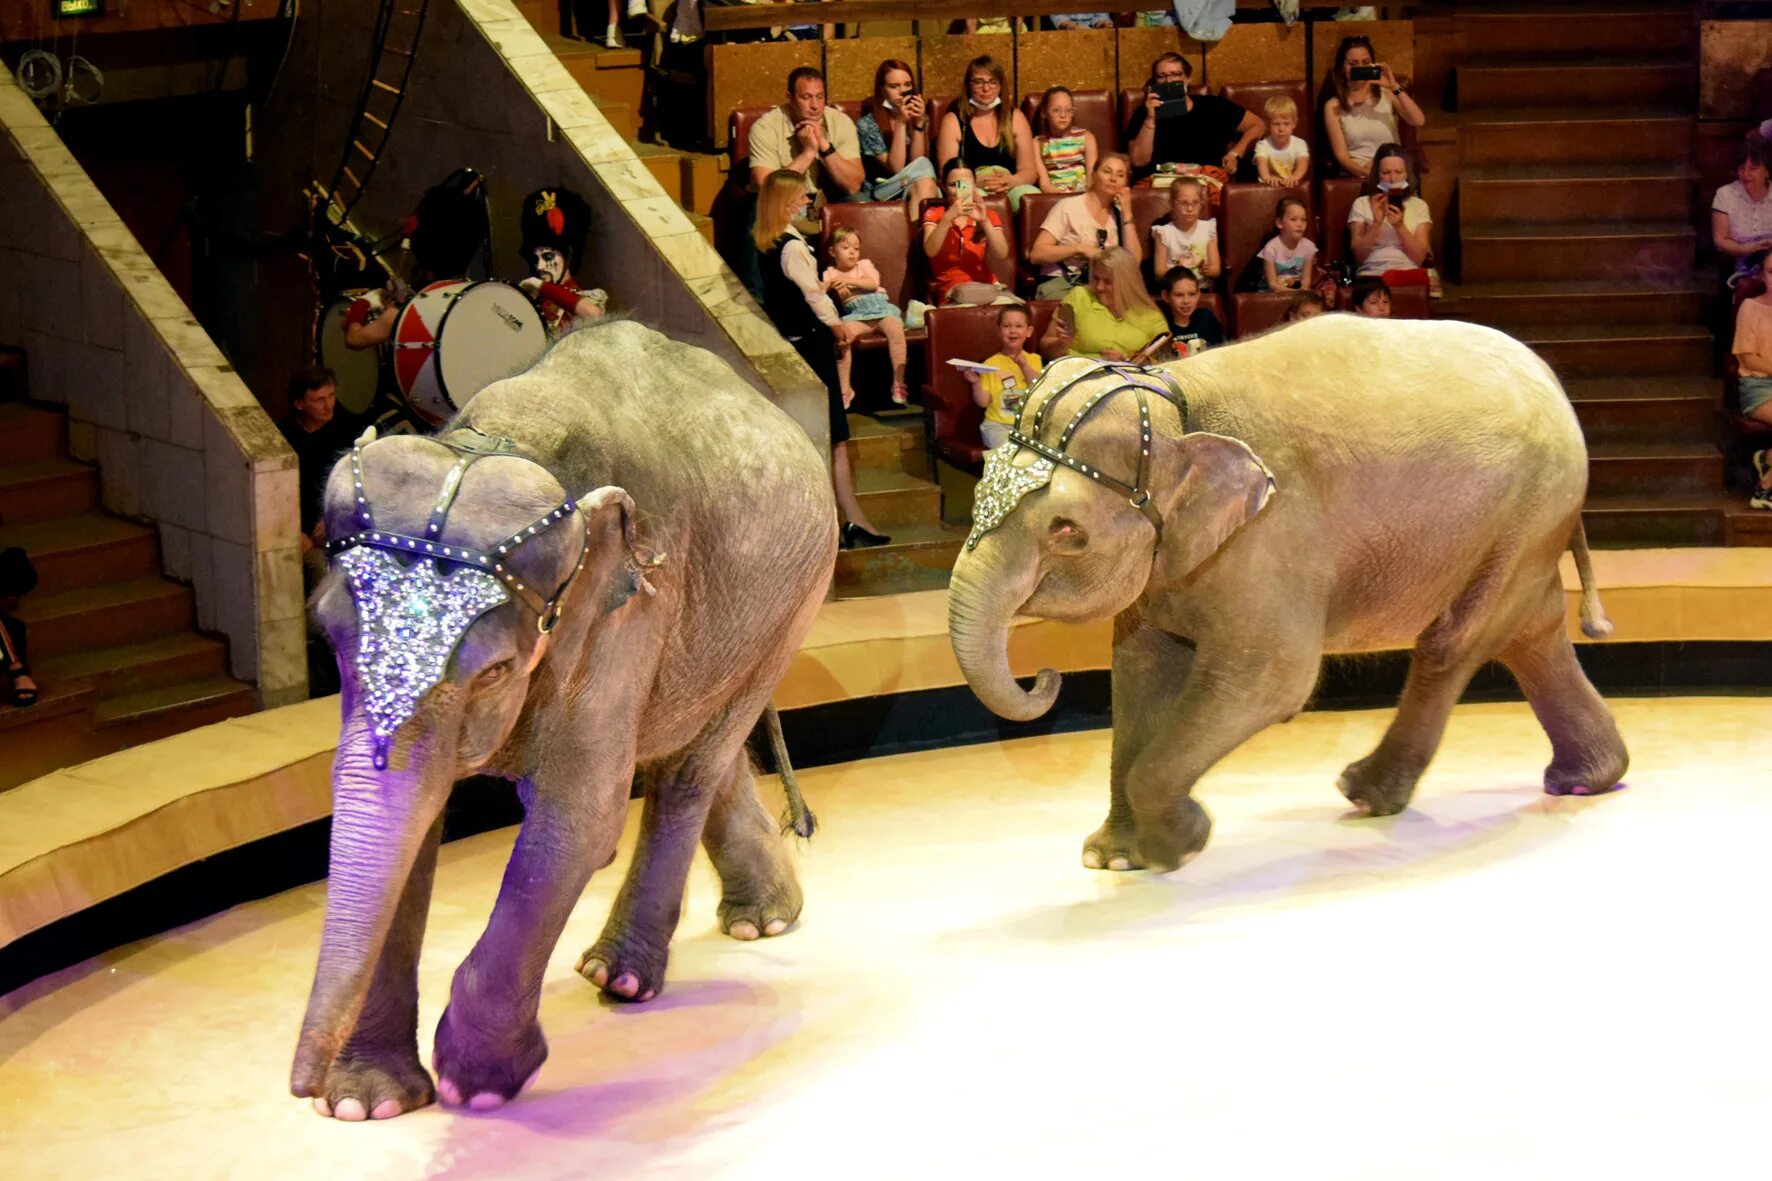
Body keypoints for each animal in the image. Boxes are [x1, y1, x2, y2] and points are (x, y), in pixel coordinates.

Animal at [288, 317, 836, 1120]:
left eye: (495, 671)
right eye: (327, 639)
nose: (299, 1087)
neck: (499, 442)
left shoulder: (628, 602)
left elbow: (579, 816)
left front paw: (476, 1084)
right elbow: (414, 827)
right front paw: (368, 1104)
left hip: (795, 599)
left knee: (690, 768)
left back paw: (626, 976)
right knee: (694, 742)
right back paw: (761, 917)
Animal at [949, 317, 1623, 868]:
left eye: (1067, 532)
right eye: (979, 490)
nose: (1045, 676)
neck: (1179, 402)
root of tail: (1551, 382)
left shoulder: (1276, 535)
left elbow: (1269, 679)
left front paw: (1183, 845)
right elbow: (1140, 670)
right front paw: (1113, 859)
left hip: (1528, 511)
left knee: (1454, 643)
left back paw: (1366, 794)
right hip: (1526, 528)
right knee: (1530, 633)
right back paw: (1585, 780)